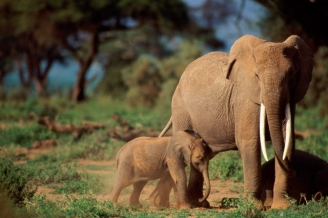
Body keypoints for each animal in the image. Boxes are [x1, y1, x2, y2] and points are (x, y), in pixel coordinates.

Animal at [154, 35, 312, 209]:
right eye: (256, 76)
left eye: (291, 74)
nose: (294, 172)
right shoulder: (245, 101)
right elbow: (250, 143)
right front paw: (255, 207)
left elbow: (287, 142)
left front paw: (283, 207)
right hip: (181, 109)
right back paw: (189, 205)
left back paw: (199, 204)